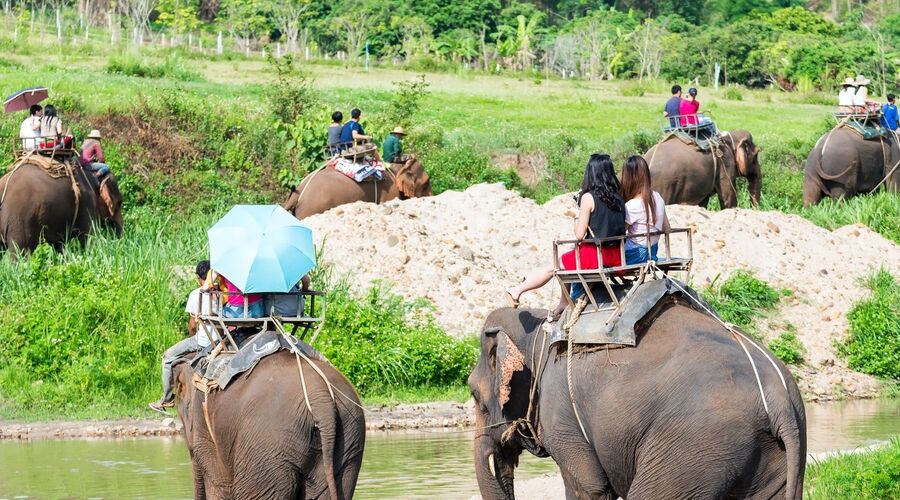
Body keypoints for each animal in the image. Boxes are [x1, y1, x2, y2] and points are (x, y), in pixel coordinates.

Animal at [472, 298, 808, 498]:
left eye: (474, 394)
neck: (539, 330)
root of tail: (778, 400)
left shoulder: (562, 419)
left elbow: (588, 487)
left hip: (695, 447)